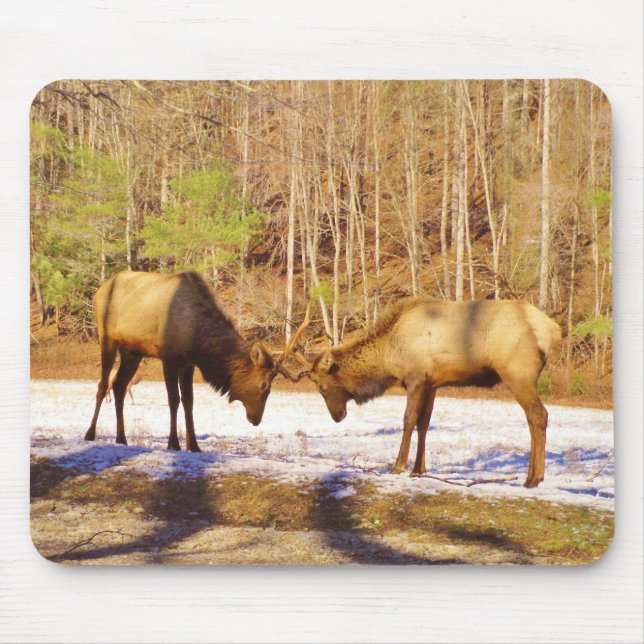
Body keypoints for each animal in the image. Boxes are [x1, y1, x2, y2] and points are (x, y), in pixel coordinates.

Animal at [85, 270, 309, 451]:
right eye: (264, 386)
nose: (256, 419)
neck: (197, 341)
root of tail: (98, 292)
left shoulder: (188, 363)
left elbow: (189, 401)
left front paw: (193, 445)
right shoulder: (169, 357)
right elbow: (173, 399)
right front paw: (173, 444)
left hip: (132, 352)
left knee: (119, 386)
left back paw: (121, 439)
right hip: (107, 339)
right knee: (102, 385)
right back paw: (90, 433)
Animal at [296, 297, 562, 488]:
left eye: (322, 387)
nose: (337, 416)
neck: (388, 356)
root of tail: (551, 329)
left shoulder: (416, 378)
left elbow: (408, 420)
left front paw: (398, 466)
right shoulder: (432, 383)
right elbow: (424, 423)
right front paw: (418, 469)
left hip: (517, 374)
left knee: (539, 415)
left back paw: (533, 479)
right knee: (533, 418)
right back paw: (533, 475)